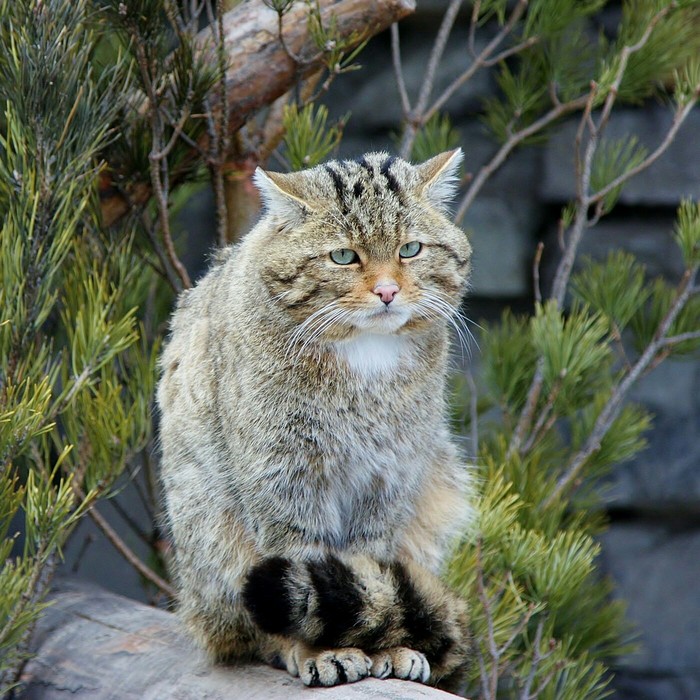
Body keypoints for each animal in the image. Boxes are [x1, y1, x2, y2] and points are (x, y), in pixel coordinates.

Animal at [157, 149, 476, 688]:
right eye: (344, 257)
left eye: (410, 249)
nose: (387, 291)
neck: (365, 357)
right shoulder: (283, 477)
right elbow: (301, 564)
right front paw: (321, 649)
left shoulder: (389, 477)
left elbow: (368, 563)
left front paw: (384, 644)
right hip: (209, 534)